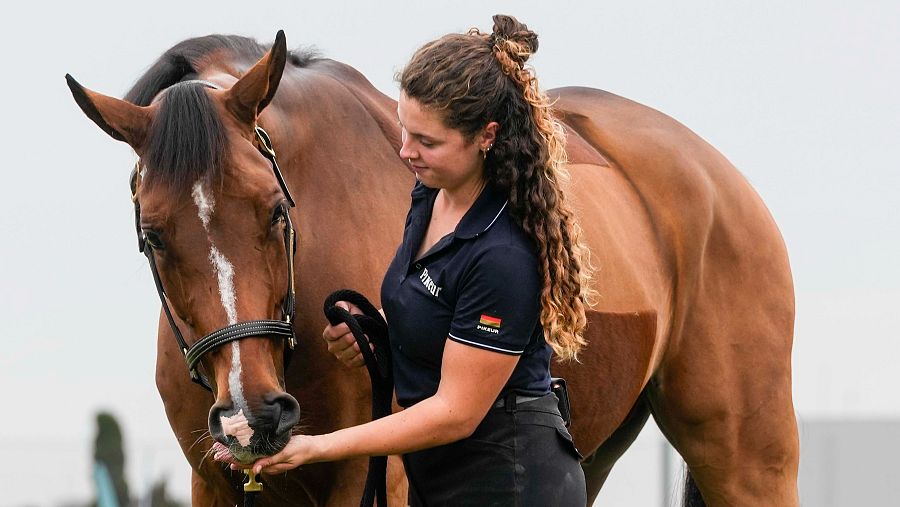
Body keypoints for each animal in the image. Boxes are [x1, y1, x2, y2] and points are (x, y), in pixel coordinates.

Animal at [67, 31, 799, 506]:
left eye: (275, 210)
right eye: (154, 235)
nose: (255, 417)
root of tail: (716, 176)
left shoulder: (372, 474)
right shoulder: (212, 479)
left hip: (748, 459)